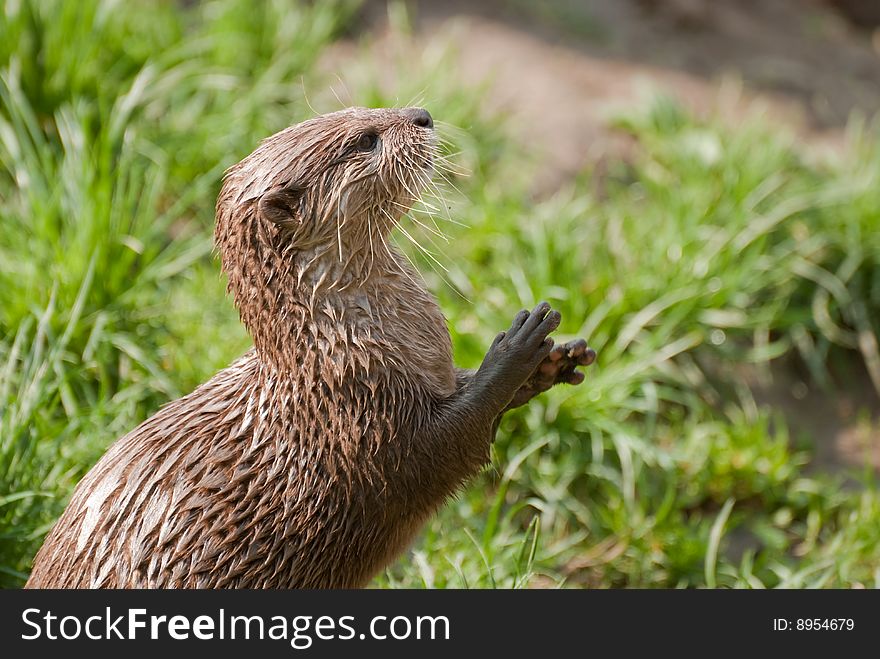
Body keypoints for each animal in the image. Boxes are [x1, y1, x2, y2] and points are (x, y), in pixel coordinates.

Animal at [27, 107, 596, 588]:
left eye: (365, 109)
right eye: (365, 139)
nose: (422, 114)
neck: (337, 343)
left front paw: (552, 363)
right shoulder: (361, 417)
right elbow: (445, 448)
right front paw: (515, 351)